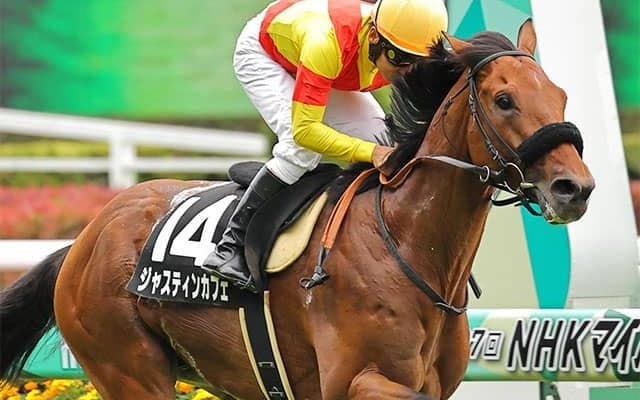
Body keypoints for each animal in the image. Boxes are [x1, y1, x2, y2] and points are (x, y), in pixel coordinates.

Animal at [1, 20, 594, 399]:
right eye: (504, 100)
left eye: (562, 95)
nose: (576, 188)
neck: (405, 244)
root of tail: (84, 239)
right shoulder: (355, 381)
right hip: (128, 369)